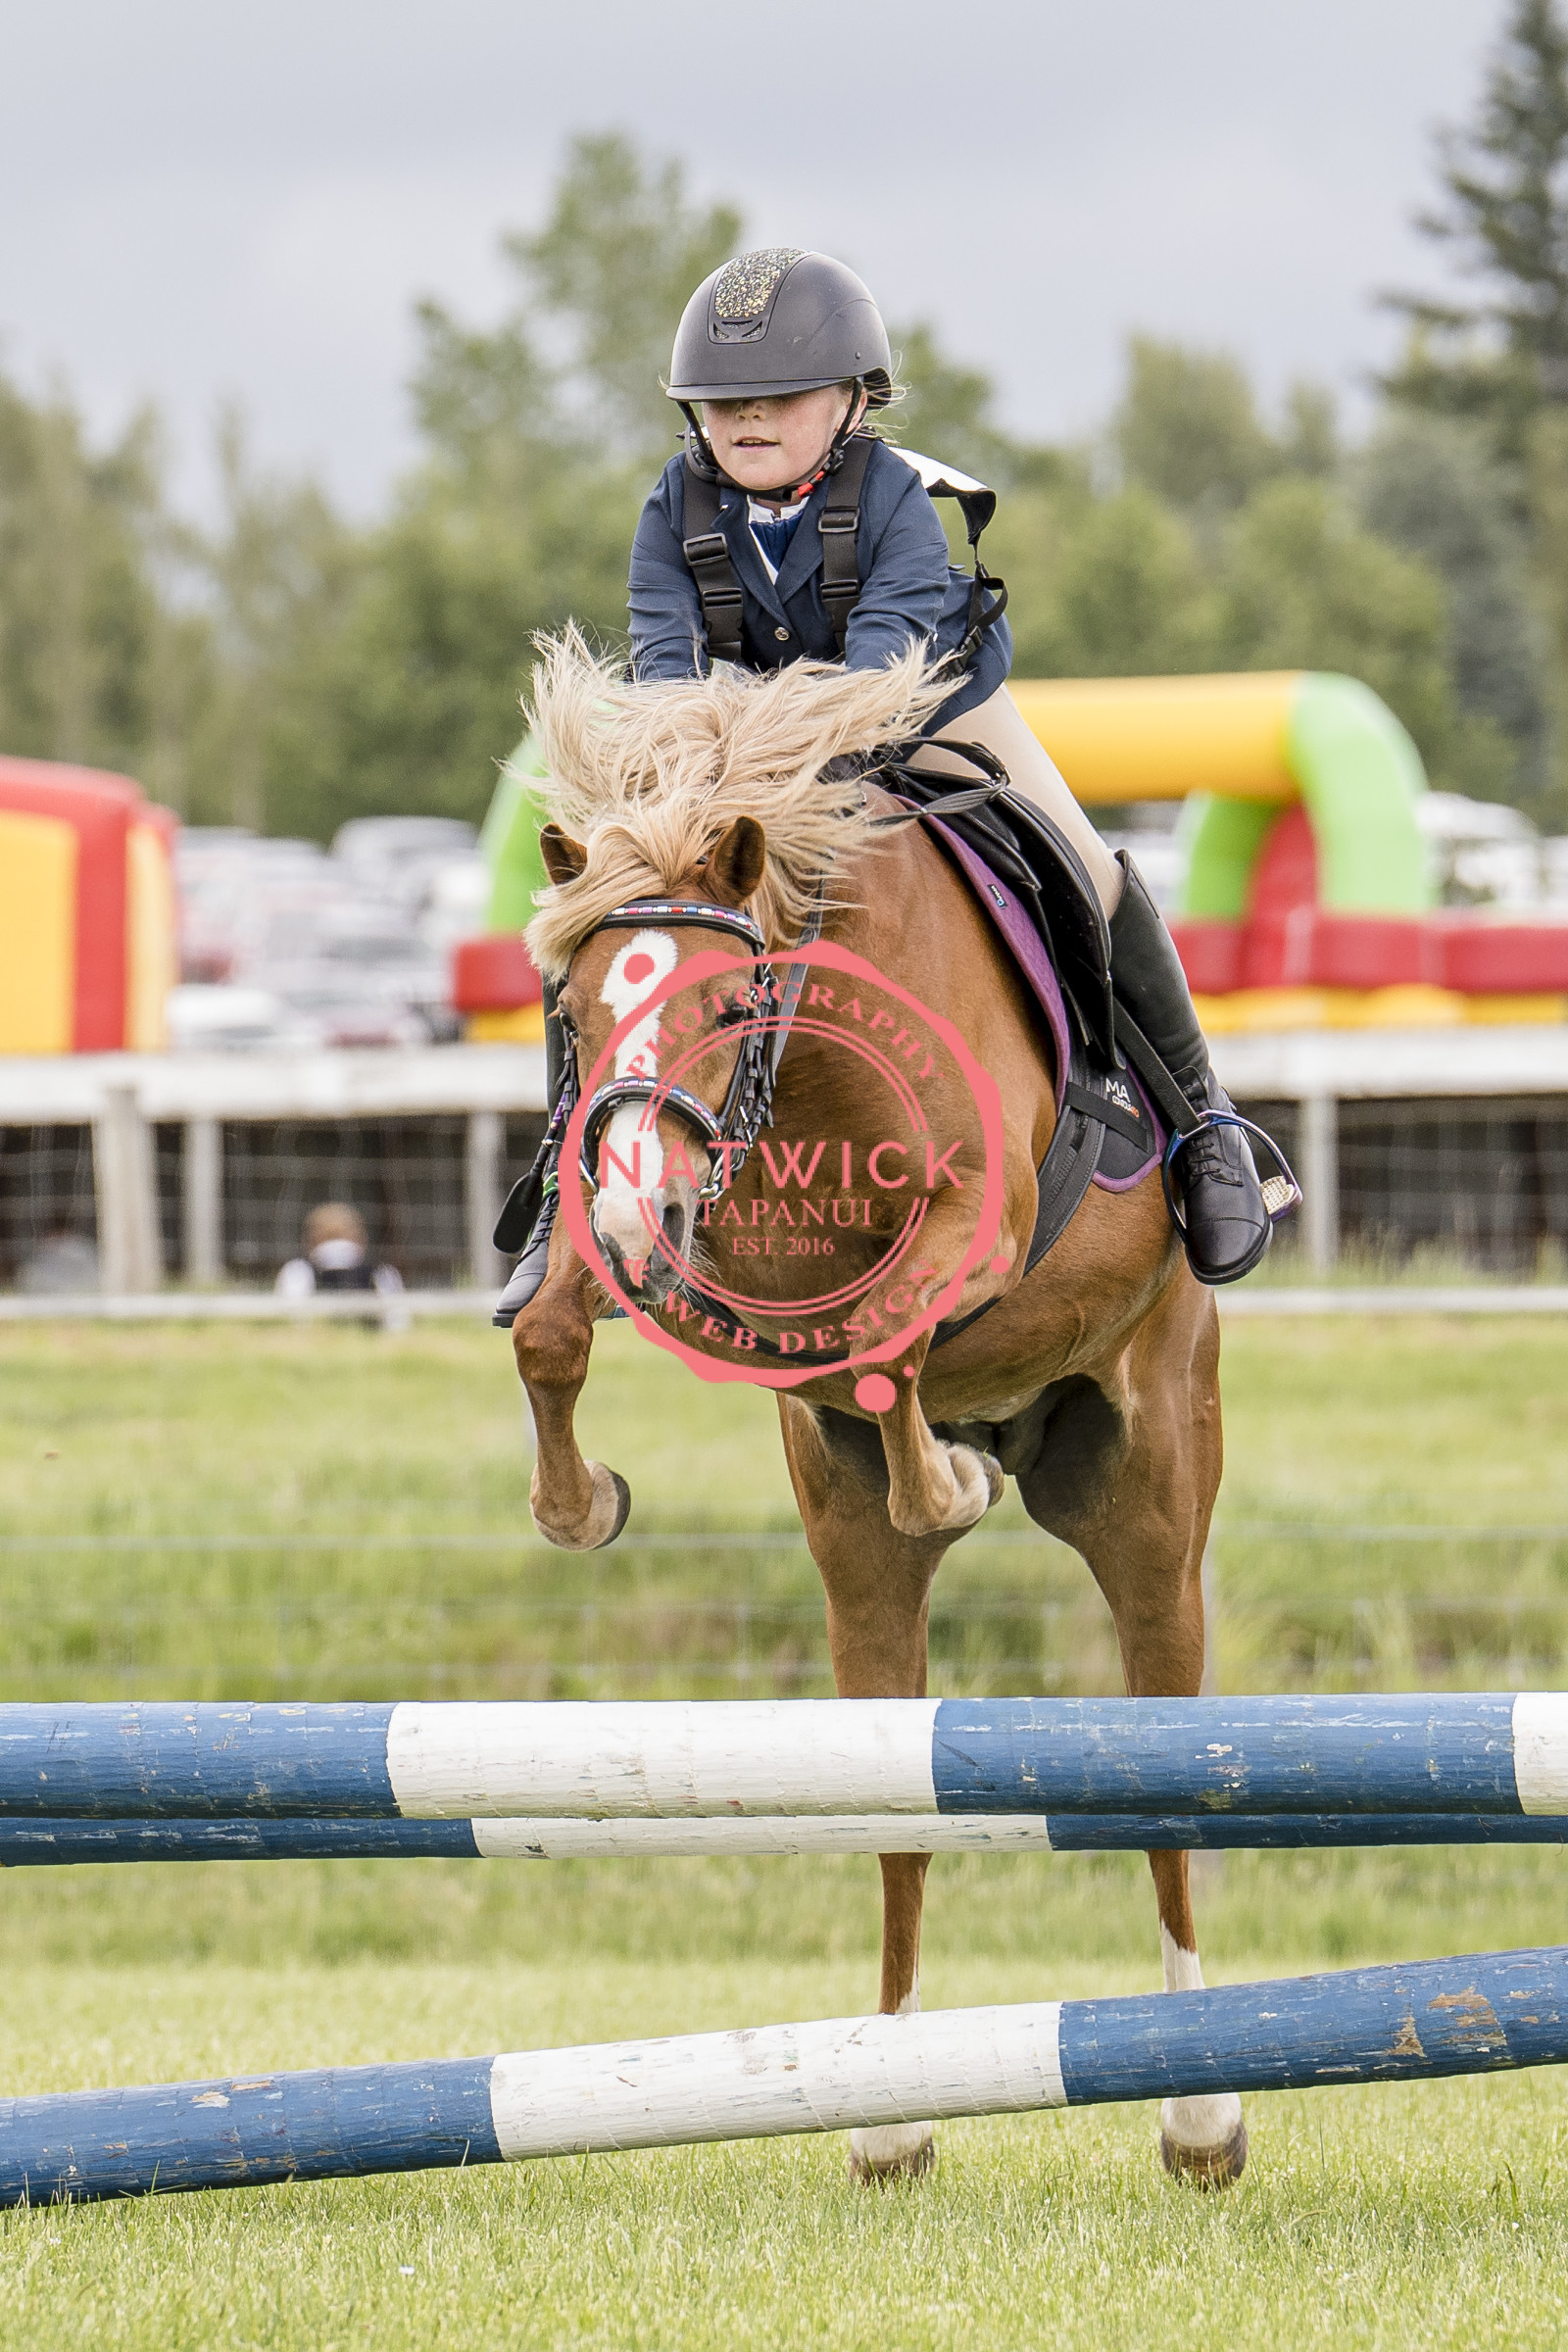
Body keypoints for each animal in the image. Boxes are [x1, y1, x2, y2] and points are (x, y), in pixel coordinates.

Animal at [510, 632, 1240, 2189]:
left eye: (728, 1005)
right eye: (576, 1014)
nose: (635, 1208)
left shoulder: (983, 1217)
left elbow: (885, 1323)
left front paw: (942, 1478)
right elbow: (559, 1327)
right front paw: (577, 1504)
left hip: (1154, 1497)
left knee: (1164, 1774)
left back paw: (1202, 2117)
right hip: (857, 1580)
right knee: (896, 1802)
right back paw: (892, 2112)